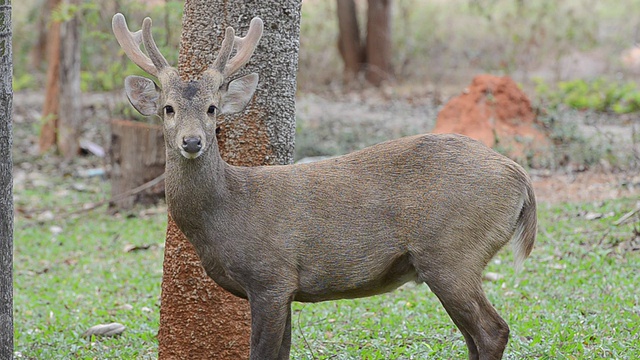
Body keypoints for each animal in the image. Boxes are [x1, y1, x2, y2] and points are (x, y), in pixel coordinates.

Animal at [114, 12, 536, 360]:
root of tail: (520, 178)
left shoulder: (271, 276)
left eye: (212, 108)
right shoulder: (284, 289)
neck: (227, 210)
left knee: (493, 331)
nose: (192, 141)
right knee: (475, 337)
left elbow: (263, 354)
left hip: (452, 251)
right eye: (168, 108)